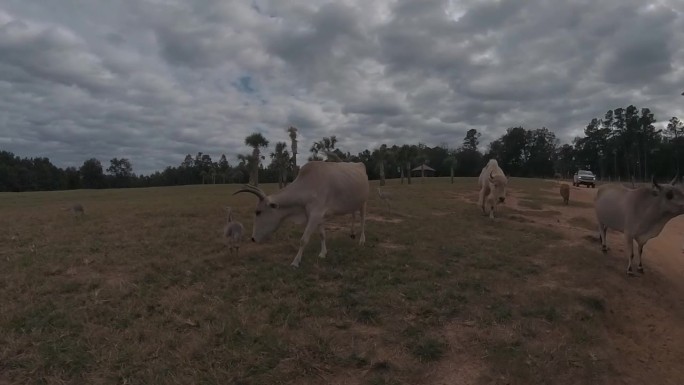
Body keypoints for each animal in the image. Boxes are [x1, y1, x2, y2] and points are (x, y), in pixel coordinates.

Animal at [232, 160, 368, 268]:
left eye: (258, 212)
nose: (253, 238)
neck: (308, 186)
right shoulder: (319, 217)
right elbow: (322, 235)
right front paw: (323, 253)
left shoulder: (315, 215)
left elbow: (303, 240)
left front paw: (295, 262)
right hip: (354, 203)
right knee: (353, 215)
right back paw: (352, 233)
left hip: (363, 203)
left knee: (362, 220)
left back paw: (362, 240)